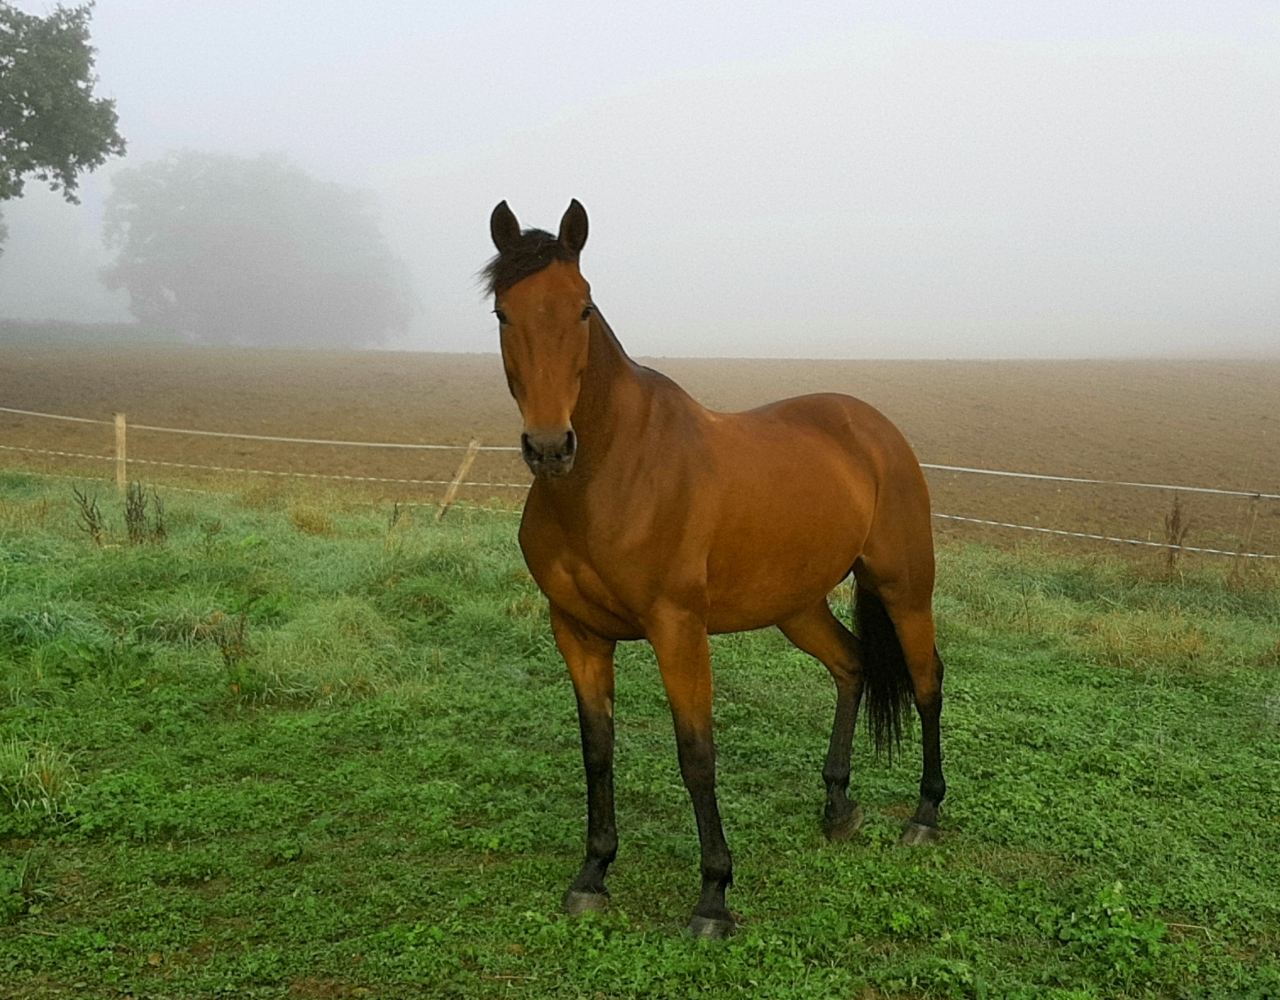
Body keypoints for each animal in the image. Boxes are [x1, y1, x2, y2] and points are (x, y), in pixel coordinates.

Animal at [484, 199, 946, 938]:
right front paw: (592, 874)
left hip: (906, 589)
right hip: (796, 604)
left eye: (583, 308)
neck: (610, 474)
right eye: (504, 313)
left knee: (928, 682)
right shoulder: (577, 632)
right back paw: (838, 807)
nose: (550, 447)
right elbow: (597, 750)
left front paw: (713, 896)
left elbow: (696, 755)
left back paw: (926, 815)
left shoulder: (678, 629)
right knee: (850, 666)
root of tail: (873, 428)